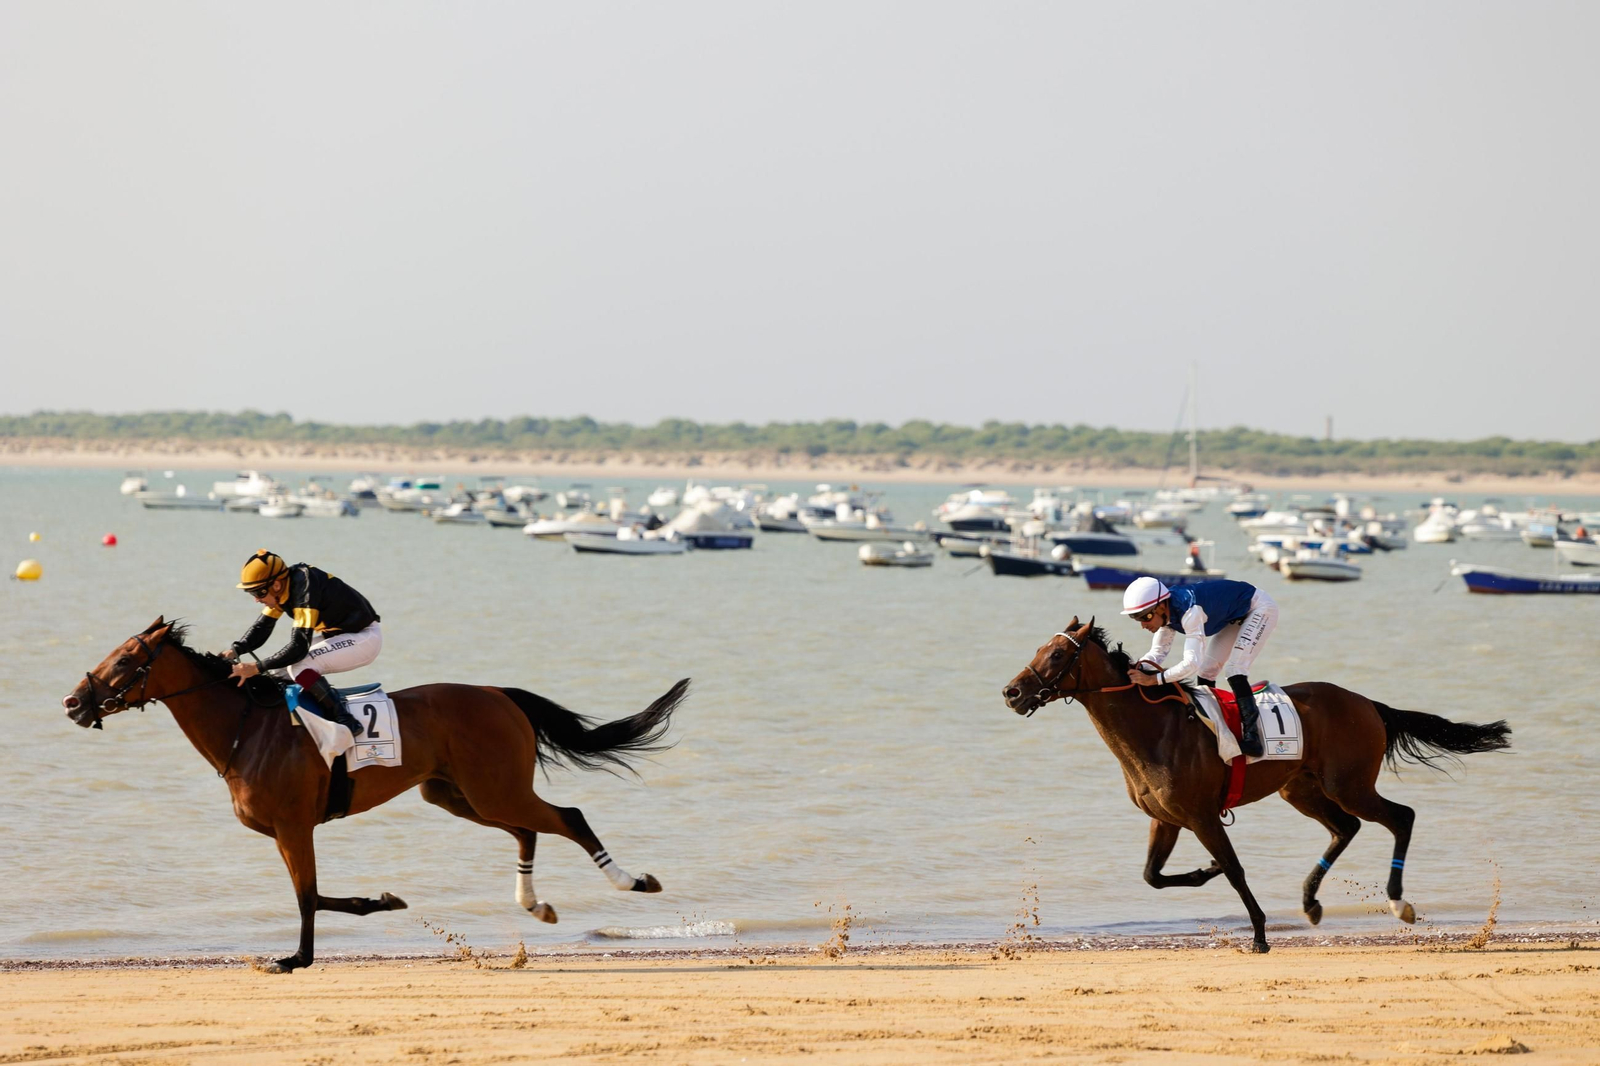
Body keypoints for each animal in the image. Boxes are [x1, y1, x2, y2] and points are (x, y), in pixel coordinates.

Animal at [62, 617, 689, 973]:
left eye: (125, 660)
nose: (72, 702)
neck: (246, 728)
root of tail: (498, 693)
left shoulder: (294, 827)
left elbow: (307, 897)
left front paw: (296, 958)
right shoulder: (288, 831)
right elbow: (318, 896)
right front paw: (381, 901)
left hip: (494, 789)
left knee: (569, 816)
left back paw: (632, 881)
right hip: (460, 796)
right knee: (529, 829)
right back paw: (535, 904)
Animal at [1001, 617, 1510, 953]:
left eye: (1058, 654)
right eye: (1040, 647)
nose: (1012, 692)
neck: (1153, 729)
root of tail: (1368, 703)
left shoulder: (1202, 816)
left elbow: (1235, 869)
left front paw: (1260, 934)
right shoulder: (1166, 819)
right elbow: (1153, 877)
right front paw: (1205, 871)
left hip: (1348, 784)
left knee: (1400, 817)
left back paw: (1398, 901)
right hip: (1300, 788)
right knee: (1345, 828)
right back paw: (1310, 902)